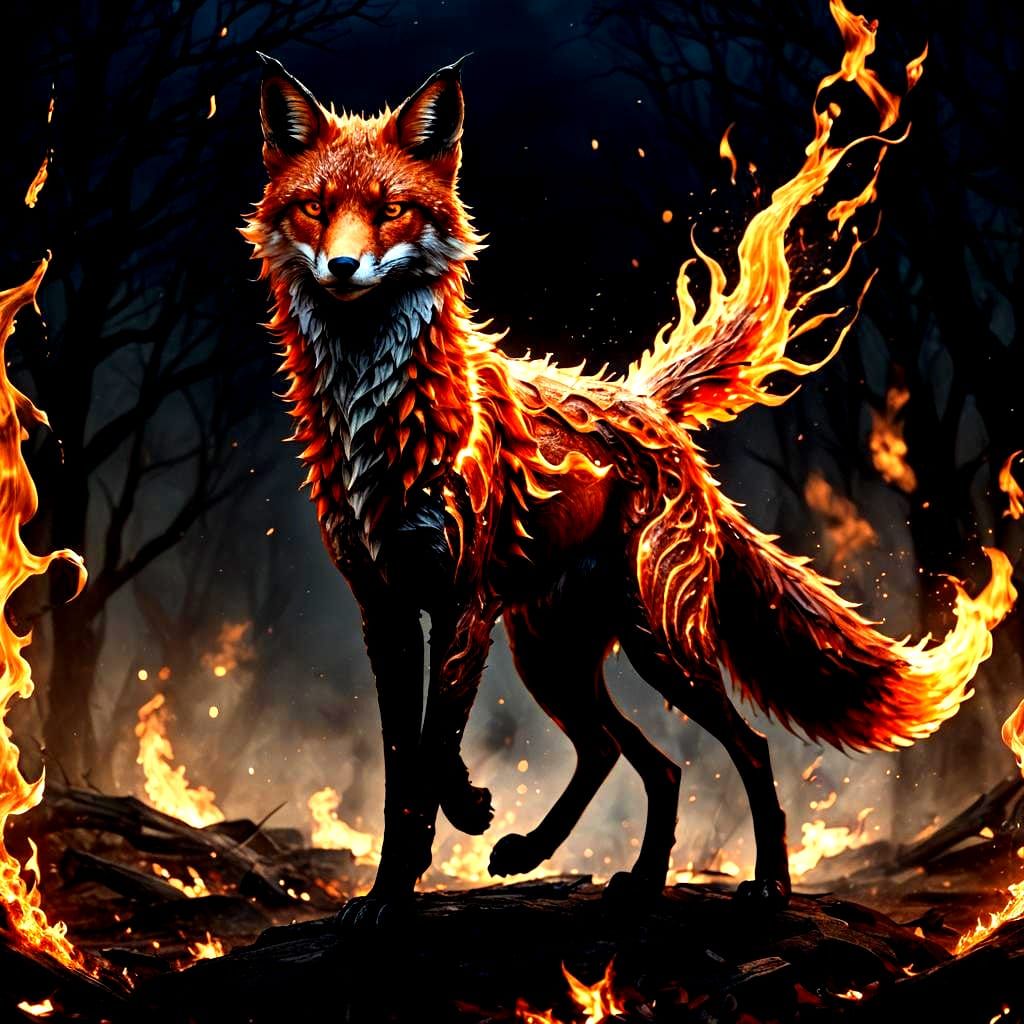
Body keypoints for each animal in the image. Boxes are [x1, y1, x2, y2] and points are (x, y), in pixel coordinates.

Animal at [244, 6, 1013, 929]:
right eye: (314, 209)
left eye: (391, 210)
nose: (343, 267)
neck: (379, 421)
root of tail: (648, 403)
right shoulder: (385, 610)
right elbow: (405, 768)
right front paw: (388, 893)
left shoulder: (461, 601)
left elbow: (431, 755)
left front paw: (434, 839)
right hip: (554, 655)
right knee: (639, 757)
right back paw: (616, 875)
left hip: (654, 644)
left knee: (743, 747)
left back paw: (769, 886)